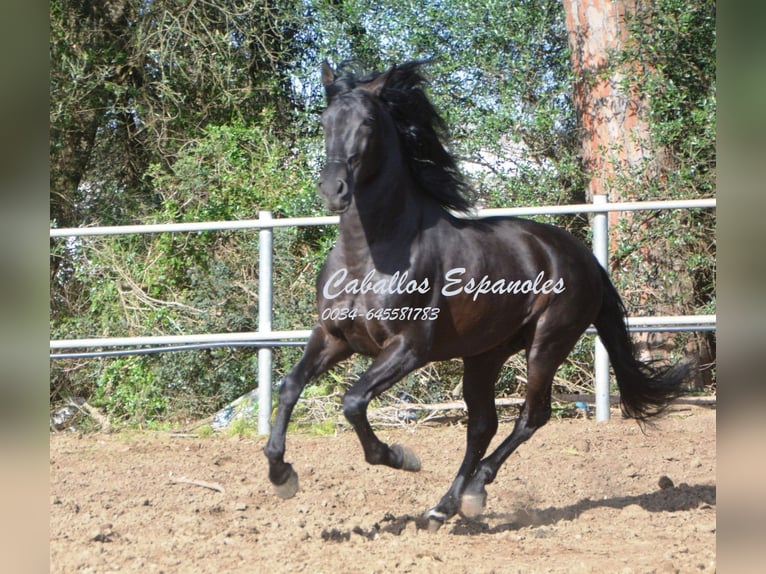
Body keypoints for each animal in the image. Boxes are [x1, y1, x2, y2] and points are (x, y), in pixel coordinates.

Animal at [264, 60, 688, 532]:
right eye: (325, 121)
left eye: (368, 122)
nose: (333, 188)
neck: (371, 253)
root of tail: (582, 255)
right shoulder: (334, 337)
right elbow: (289, 386)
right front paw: (281, 474)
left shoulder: (408, 348)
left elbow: (353, 401)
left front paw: (400, 457)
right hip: (485, 354)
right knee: (482, 425)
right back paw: (442, 507)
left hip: (547, 342)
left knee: (530, 416)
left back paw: (473, 493)